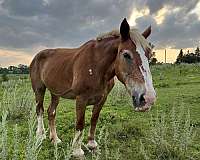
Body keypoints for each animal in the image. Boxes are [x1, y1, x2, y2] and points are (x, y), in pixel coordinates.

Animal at [29, 18, 156, 158]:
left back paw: (55, 139)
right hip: (39, 89)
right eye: (126, 55)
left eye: (149, 55)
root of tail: (37, 56)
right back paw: (40, 136)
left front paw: (92, 144)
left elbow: (94, 119)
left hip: (55, 92)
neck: (96, 66)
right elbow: (80, 123)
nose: (148, 99)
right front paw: (77, 150)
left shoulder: (102, 98)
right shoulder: (81, 99)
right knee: (40, 110)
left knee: (51, 112)